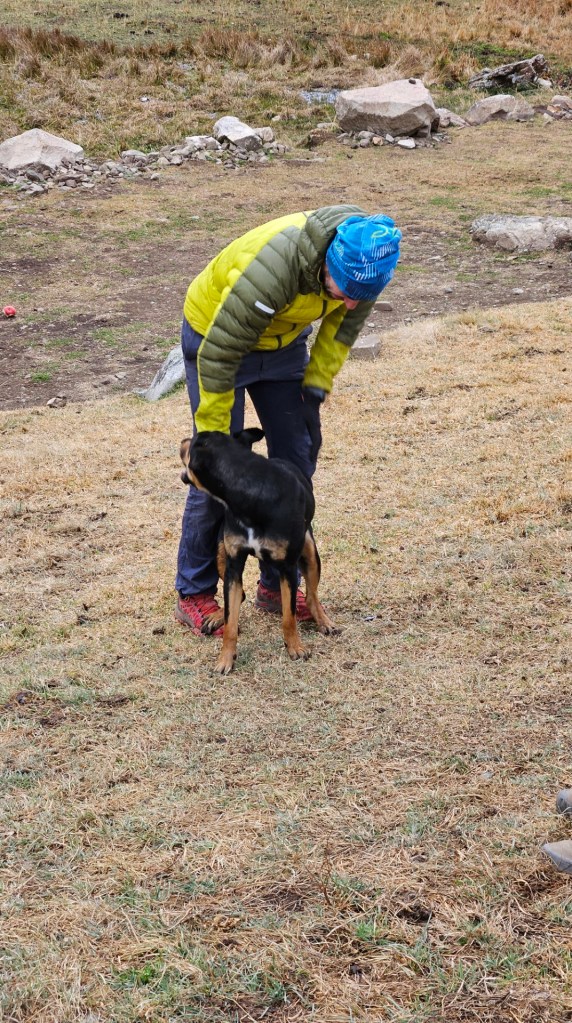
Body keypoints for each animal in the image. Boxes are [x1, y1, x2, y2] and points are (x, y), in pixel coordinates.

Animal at [179, 428, 338, 674]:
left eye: (195, 441)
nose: (183, 440)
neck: (250, 491)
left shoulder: (288, 567)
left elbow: (289, 616)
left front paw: (295, 648)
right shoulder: (234, 564)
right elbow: (231, 622)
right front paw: (225, 659)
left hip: (310, 553)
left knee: (312, 595)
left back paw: (323, 621)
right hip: (220, 553)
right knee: (239, 595)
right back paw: (216, 617)